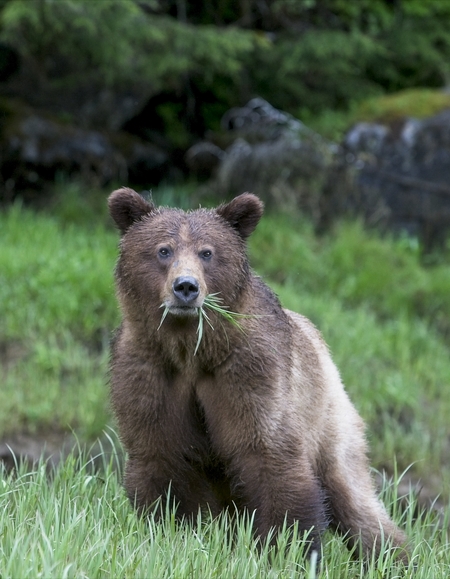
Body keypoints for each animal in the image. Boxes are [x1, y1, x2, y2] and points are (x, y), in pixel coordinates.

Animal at [108, 188, 408, 560]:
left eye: (207, 252)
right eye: (163, 250)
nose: (186, 287)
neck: (192, 350)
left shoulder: (251, 372)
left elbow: (269, 454)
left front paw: (288, 548)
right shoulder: (149, 372)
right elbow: (160, 455)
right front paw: (167, 529)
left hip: (328, 414)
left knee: (352, 495)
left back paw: (394, 556)